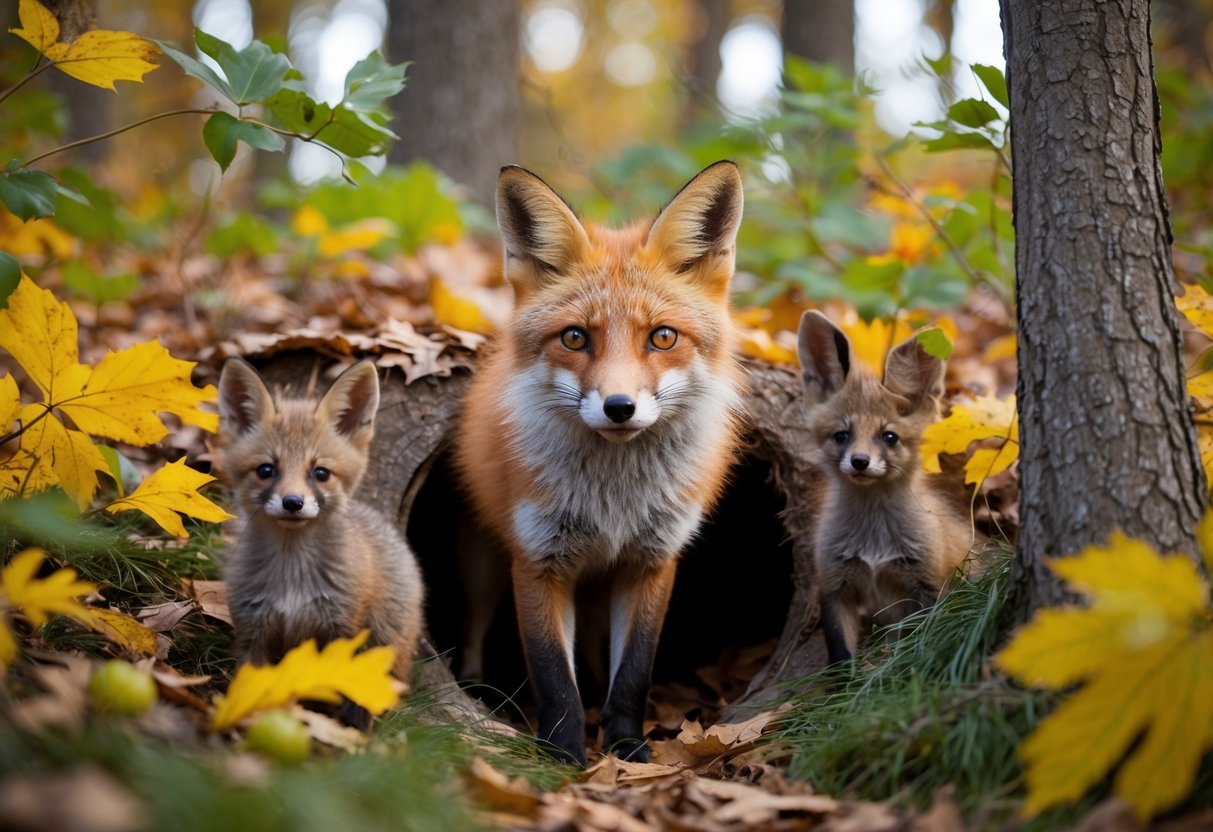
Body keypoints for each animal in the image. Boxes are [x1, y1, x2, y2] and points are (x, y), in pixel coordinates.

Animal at [217, 358, 425, 724]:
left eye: (321, 473)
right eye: (266, 470)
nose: (293, 502)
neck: (292, 580)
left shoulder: (343, 630)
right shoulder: (252, 631)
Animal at [454, 161, 746, 766]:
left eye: (663, 337)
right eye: (574, 337)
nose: (619, 407)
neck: (614, 500)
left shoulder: (652, 562)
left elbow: (633, 671)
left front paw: (628, 748)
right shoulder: (537, 561)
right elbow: (552, 676)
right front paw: (564, 756)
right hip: (482, 565)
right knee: (472, 629)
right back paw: (475, 688)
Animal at [797, 310, 975, 666]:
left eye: (889, 436)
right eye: (842, 436)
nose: (860, 461)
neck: (874, 542)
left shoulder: (929, 585)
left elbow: (923, 642)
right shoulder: (834, 587)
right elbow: (841, 659)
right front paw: (847, 682)